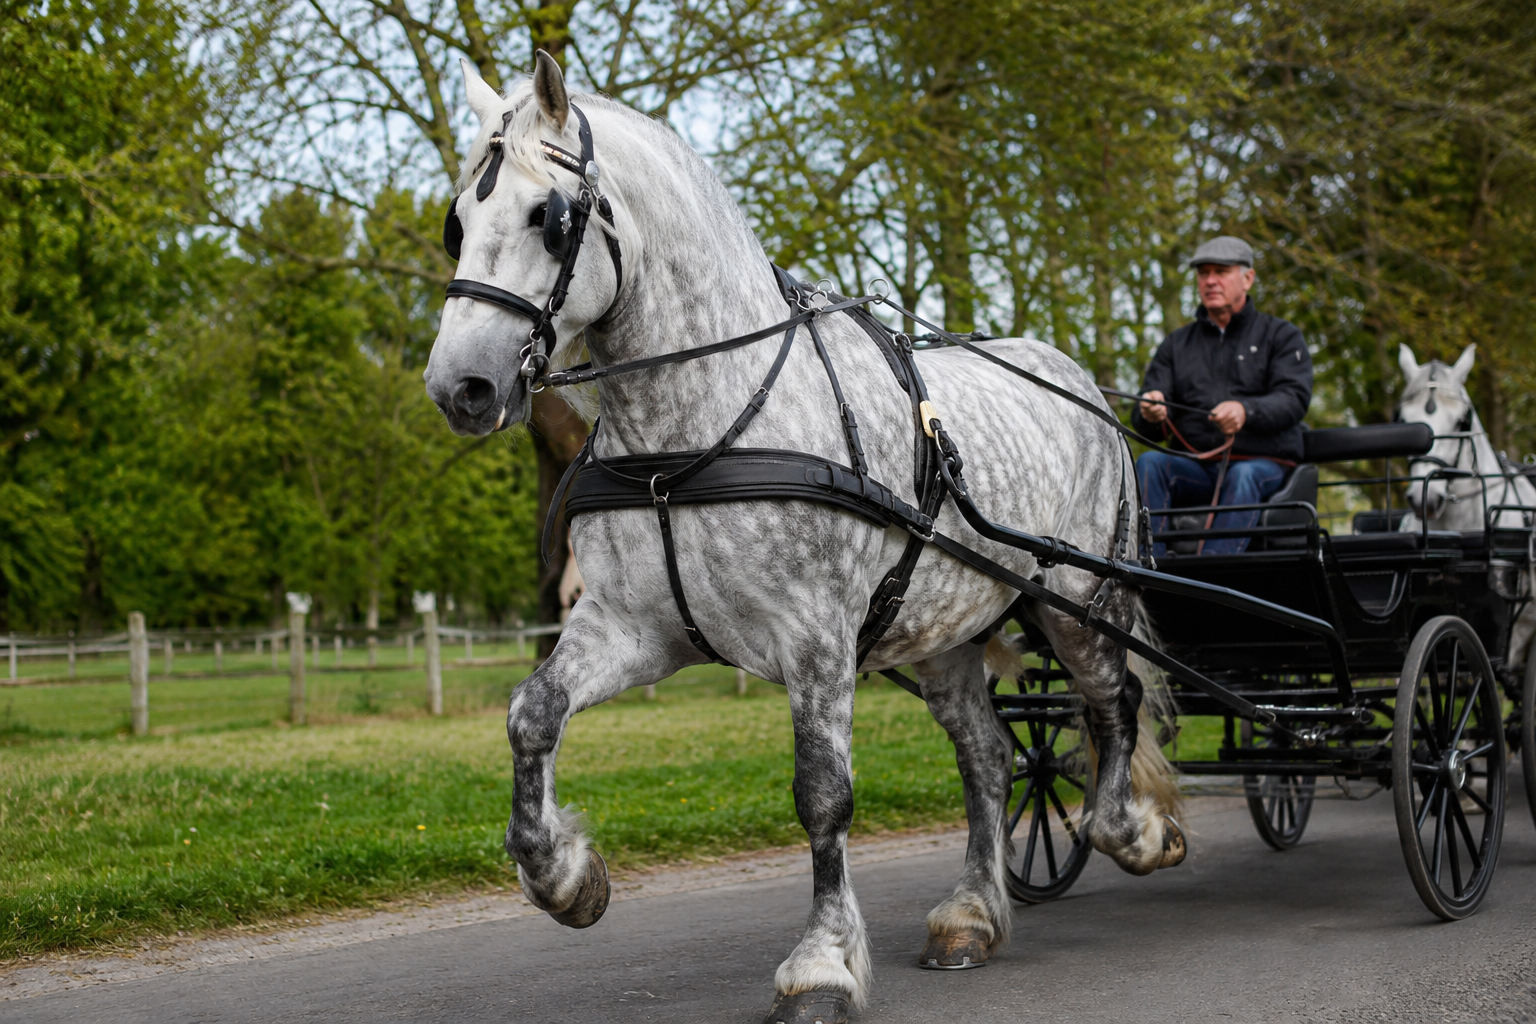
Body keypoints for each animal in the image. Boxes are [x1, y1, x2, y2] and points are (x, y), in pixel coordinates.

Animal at [423, 52, 1183, 1022]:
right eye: (457, 220)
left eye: (547, 218)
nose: (461, 387)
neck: (692, 440)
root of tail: (1076, 377)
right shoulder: (635, 628)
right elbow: (532, 714)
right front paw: (562, 876)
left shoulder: (816, 640)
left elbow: (823, 797)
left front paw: (821, 964)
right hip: (944, 629)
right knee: (988, 755)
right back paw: (971, 914)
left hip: (1077, 599)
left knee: (1112, 702)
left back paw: (1131, 829)